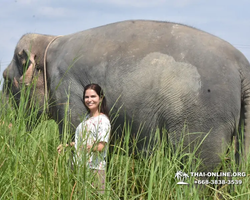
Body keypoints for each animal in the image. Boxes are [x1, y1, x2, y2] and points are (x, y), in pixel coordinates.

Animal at [1, 19, 250, 170]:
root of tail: (242, 65)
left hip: (201, 117)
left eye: (5, 79)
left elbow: (74, 135)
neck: (50, 40)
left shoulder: (67, 88)